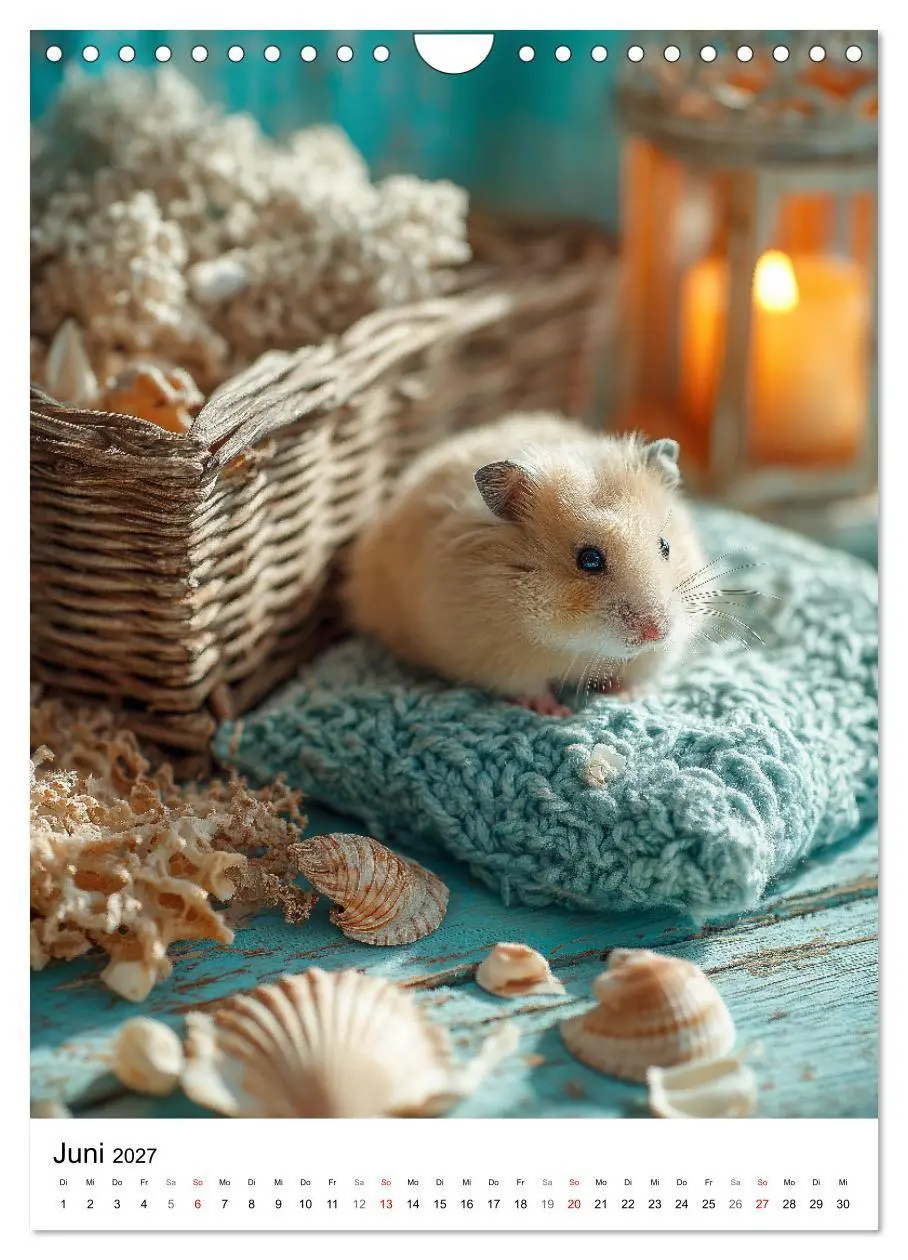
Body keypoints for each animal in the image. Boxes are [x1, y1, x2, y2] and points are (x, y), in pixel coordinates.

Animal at [343, 411, 707, 714]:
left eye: (665, 546)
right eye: (589, 560)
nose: (656, 632)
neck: (577, 644)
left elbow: (631, 676)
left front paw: (629, 695)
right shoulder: (496, 657)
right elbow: (528, 686)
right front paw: (554, 712)